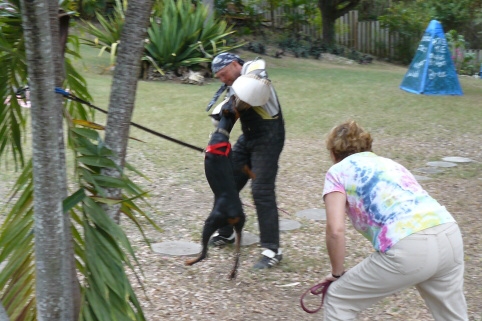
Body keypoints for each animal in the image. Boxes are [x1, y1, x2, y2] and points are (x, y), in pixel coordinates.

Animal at [185, 96, 245, 278]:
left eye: (229, 103)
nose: (232, 96)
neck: (221, 134)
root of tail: (234, 214)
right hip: (239, 228)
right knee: (237, 255)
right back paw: (232, 273)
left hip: (210, 223)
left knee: (204, 254)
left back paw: (190, 262)